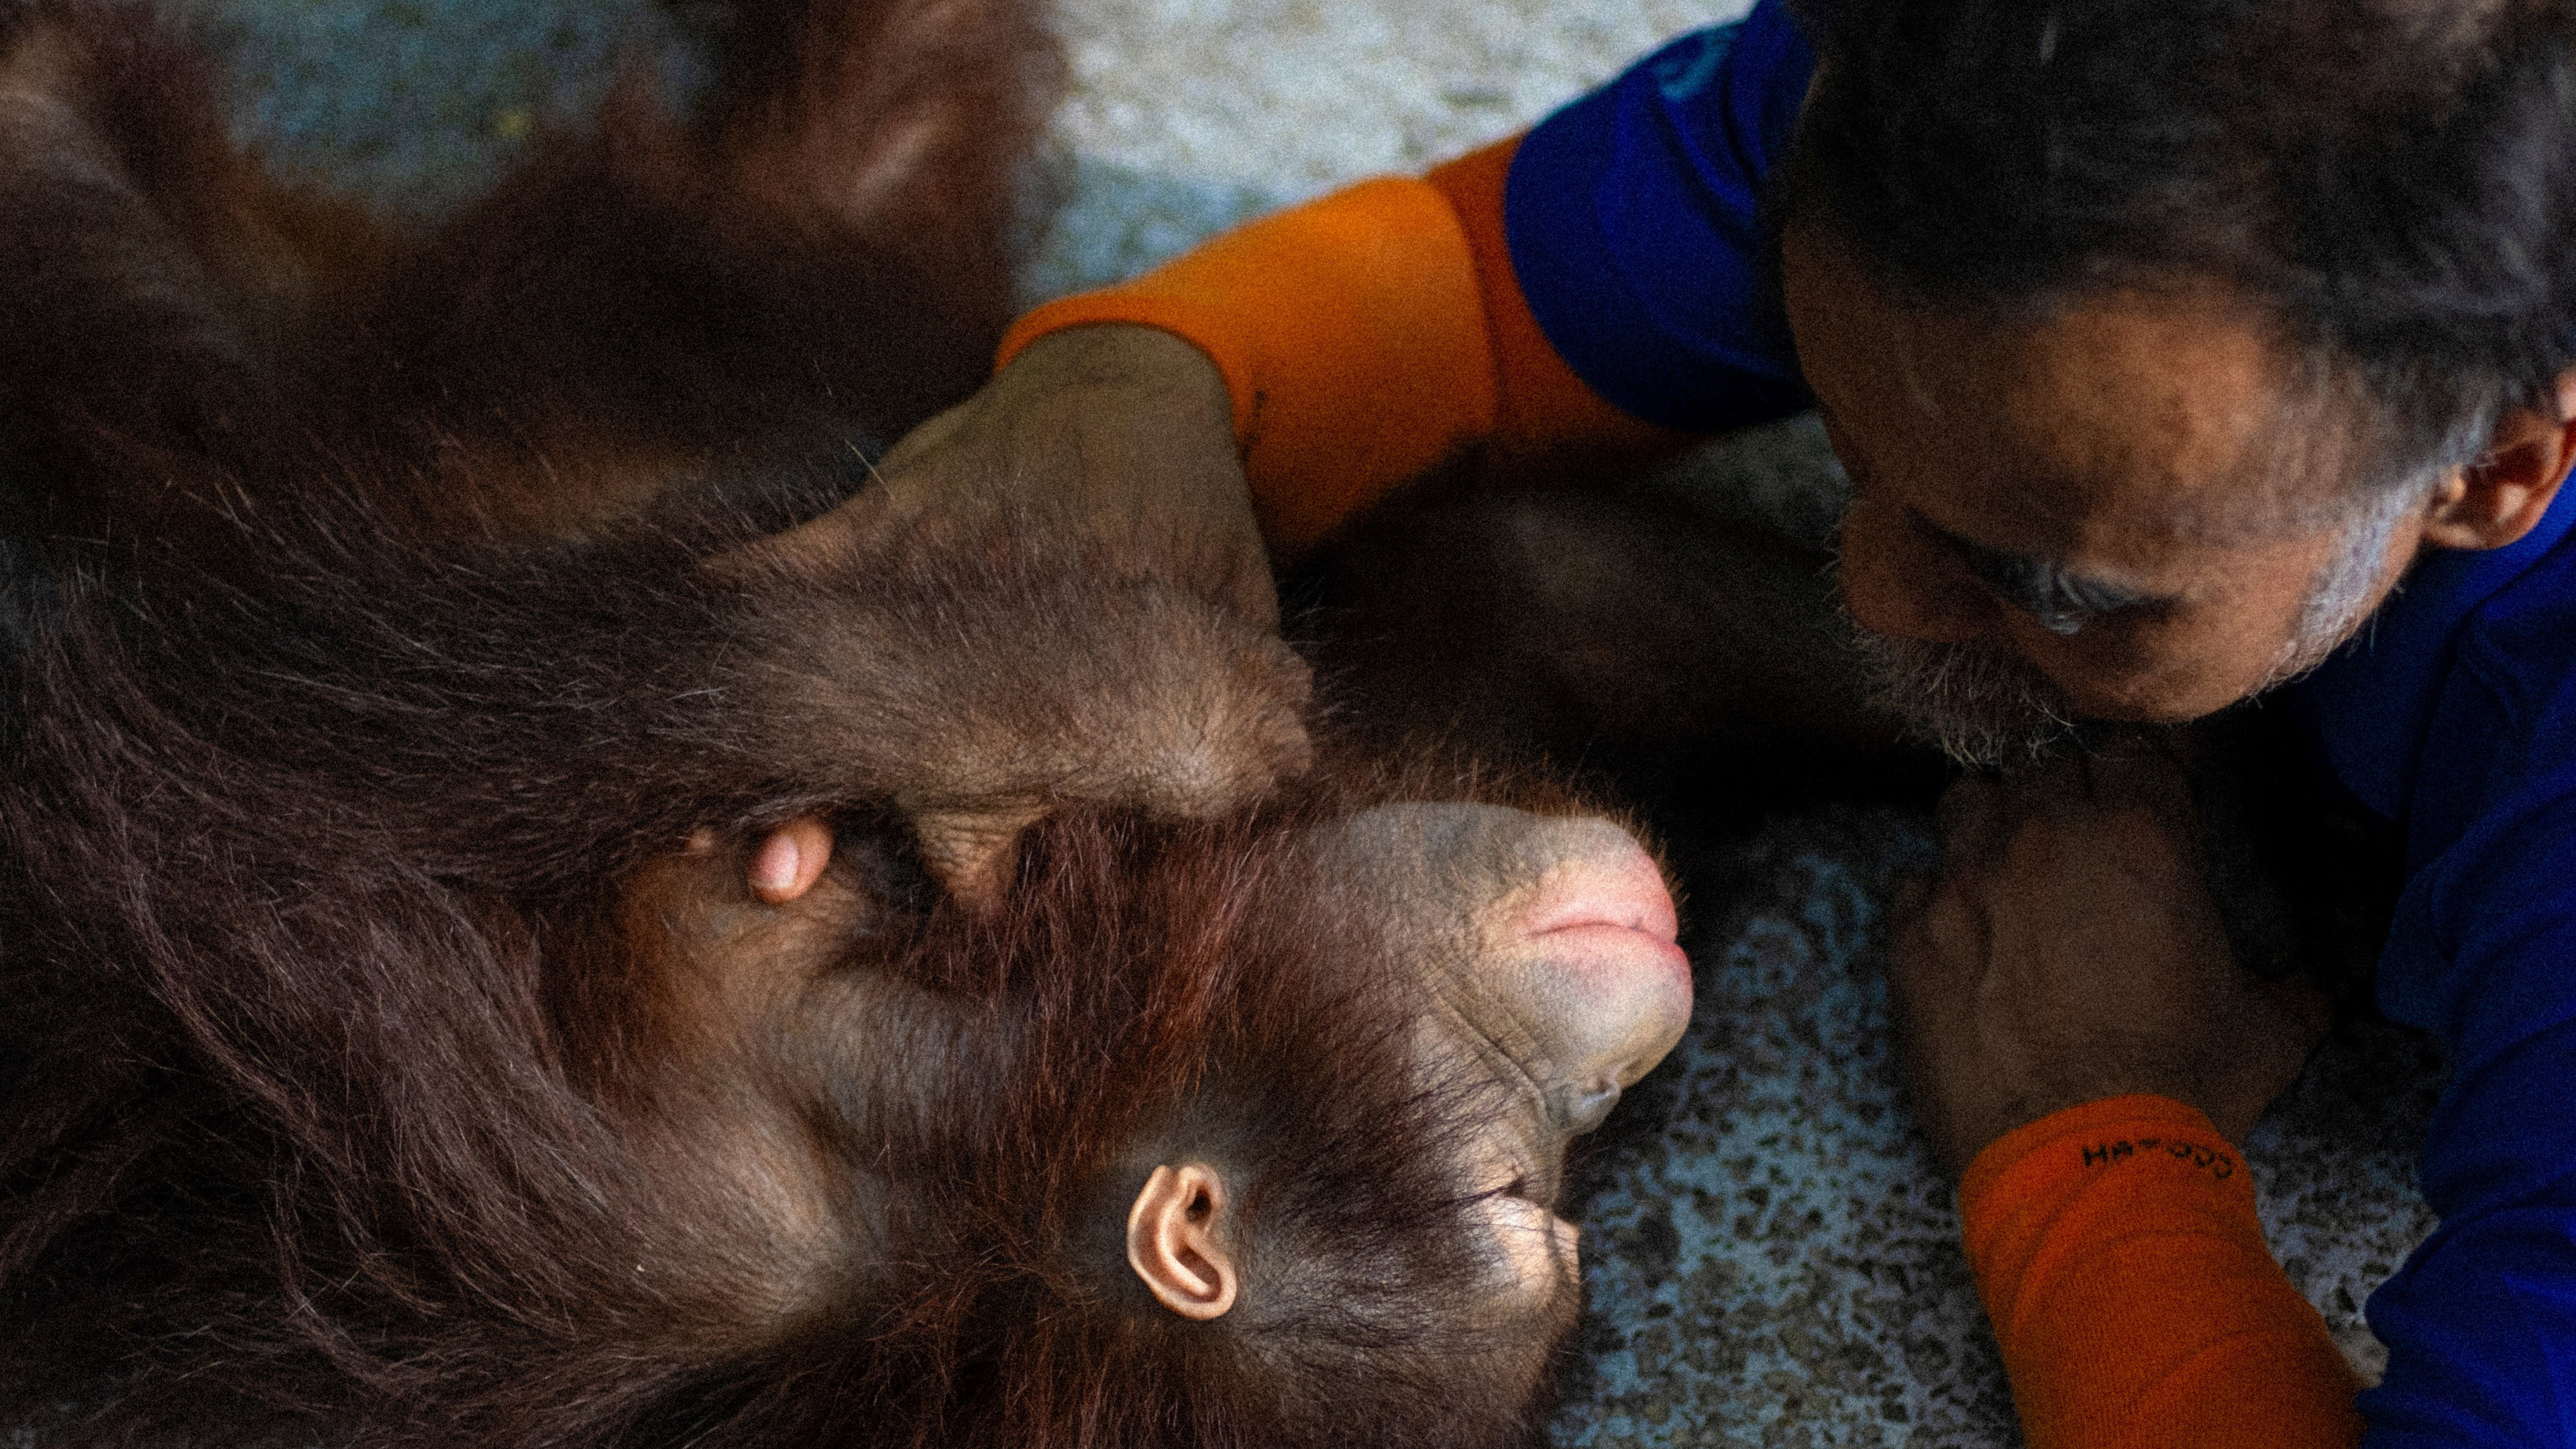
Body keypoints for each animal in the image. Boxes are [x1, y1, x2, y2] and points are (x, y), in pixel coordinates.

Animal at [0, 0, 1700, 1443]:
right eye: (1513, 1188)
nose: (1609, 1085)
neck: (975, 1059)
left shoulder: (659, 1207)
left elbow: (258, 796)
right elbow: (287, 782)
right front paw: (1157, 698)